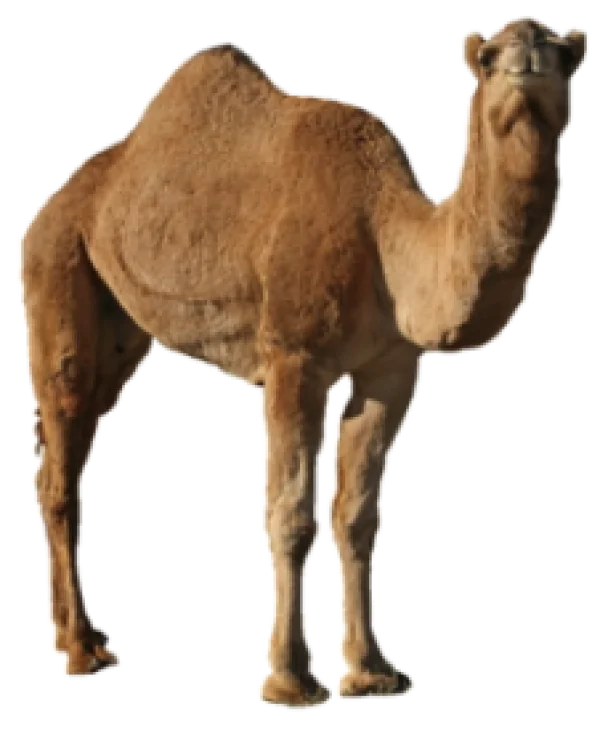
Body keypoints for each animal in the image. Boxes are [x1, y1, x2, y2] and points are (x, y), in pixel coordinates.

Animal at [22, 18, 586, 705]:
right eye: (488, 57)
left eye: (565, 56)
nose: (526, 60)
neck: (384, 234)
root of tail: (55, 205)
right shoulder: (295, 357)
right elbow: (290, 514)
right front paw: (289, 679)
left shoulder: (391, 369)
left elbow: (357, 514)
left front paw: (370, 670)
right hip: (57, 262)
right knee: (60, 446)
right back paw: (80, 650)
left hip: (120, 323)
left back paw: (80, 638)